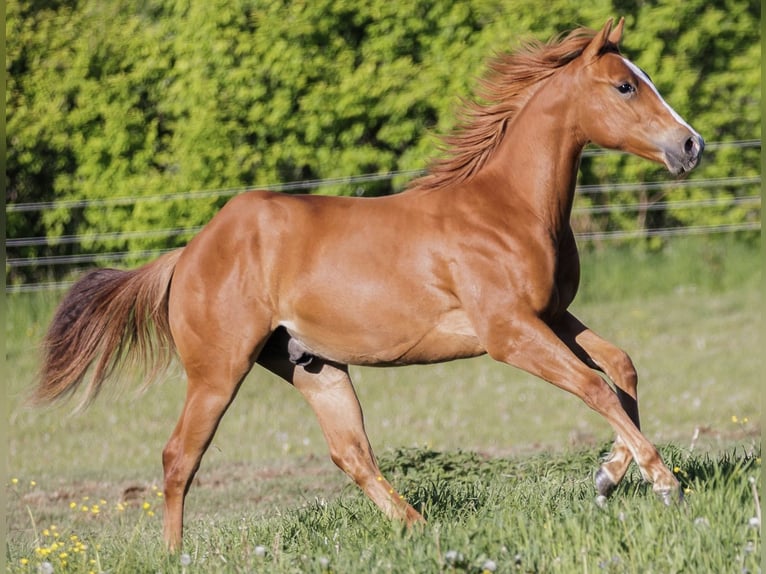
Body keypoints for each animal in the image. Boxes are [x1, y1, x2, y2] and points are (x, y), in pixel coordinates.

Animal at [32, 18, 704, 551]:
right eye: (625, 85)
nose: (690, 145)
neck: (506, 207)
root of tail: (188, 252)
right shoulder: (509, 332)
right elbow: (593, 386)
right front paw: (663, 484)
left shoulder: (554, 316)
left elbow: (621, 369)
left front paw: (611, 475)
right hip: (219, 372)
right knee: (180, 457)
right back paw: (176, 556)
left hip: (313, 366)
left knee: (351, 452)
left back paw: (419, 526)